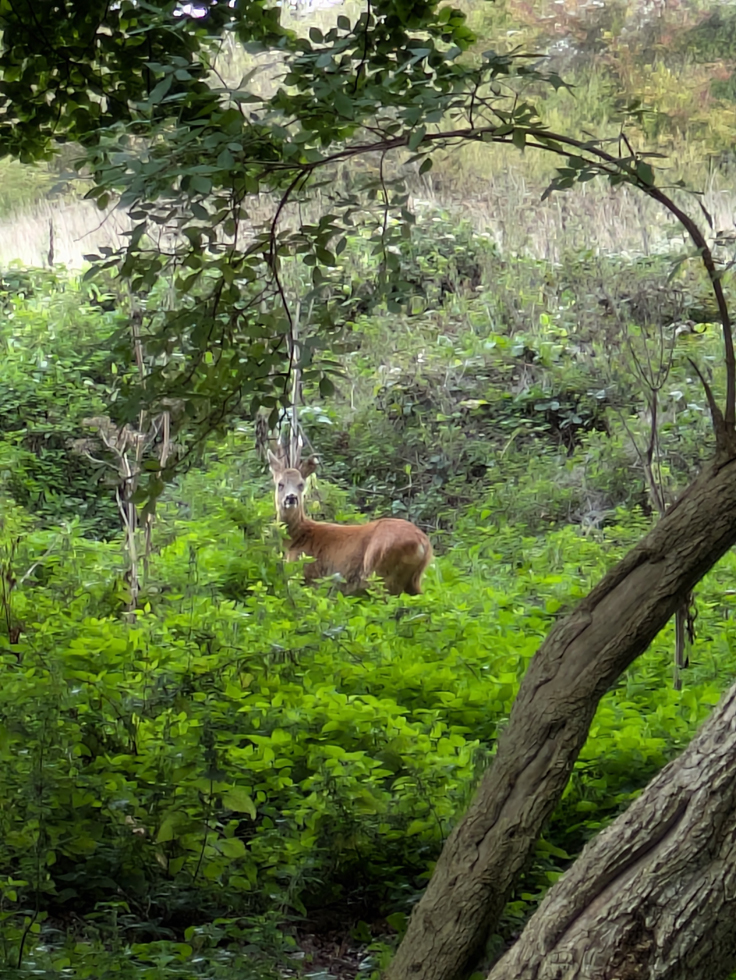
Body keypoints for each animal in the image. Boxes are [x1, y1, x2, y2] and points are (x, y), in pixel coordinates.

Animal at [267, 449, 432, 595]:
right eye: (280, 484)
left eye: (301, 484)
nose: (291, 498)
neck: (296, 538)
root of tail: (422, 543)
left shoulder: (303, 573)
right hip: (413, 580)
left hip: (381, 573)